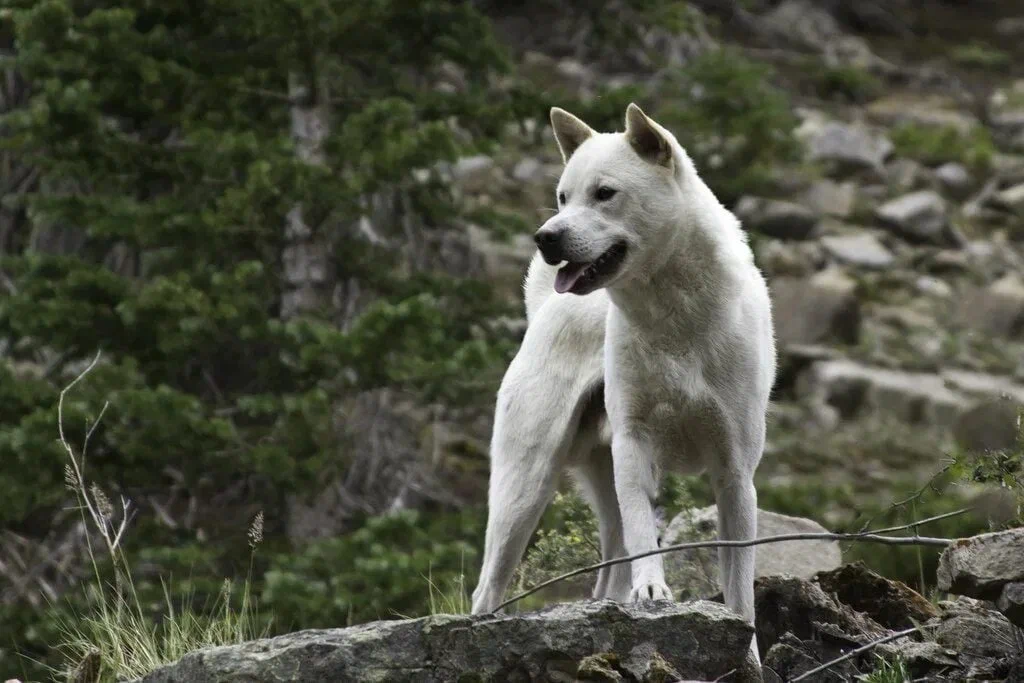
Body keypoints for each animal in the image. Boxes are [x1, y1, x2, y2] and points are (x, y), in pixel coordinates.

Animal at [471, 102, 774, 655]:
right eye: (563, 196)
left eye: (605, 193)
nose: (546, 238)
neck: (674, 320)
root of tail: (545, 308)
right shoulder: (635, 443)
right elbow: (643, 535)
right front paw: (653, 591)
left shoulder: (735, 472)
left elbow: (740, 587)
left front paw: (750, 653)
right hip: (524, 486)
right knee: (489, 586)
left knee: (606, 574)